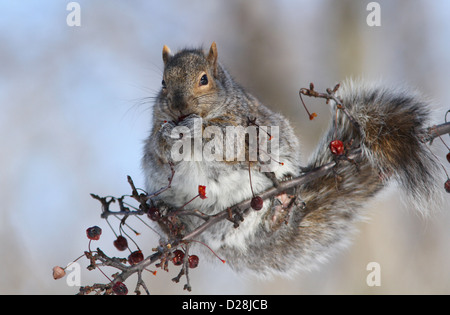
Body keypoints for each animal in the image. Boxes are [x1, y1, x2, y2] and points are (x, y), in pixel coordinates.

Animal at [142, 41, 442, 276]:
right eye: (163, 83)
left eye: (204, 79)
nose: (179, 106)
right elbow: (159, 148)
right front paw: (168, 134)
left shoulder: (241, 125)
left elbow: (225, 140)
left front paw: (194, 127)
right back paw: (168, 218)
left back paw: (280, 209)